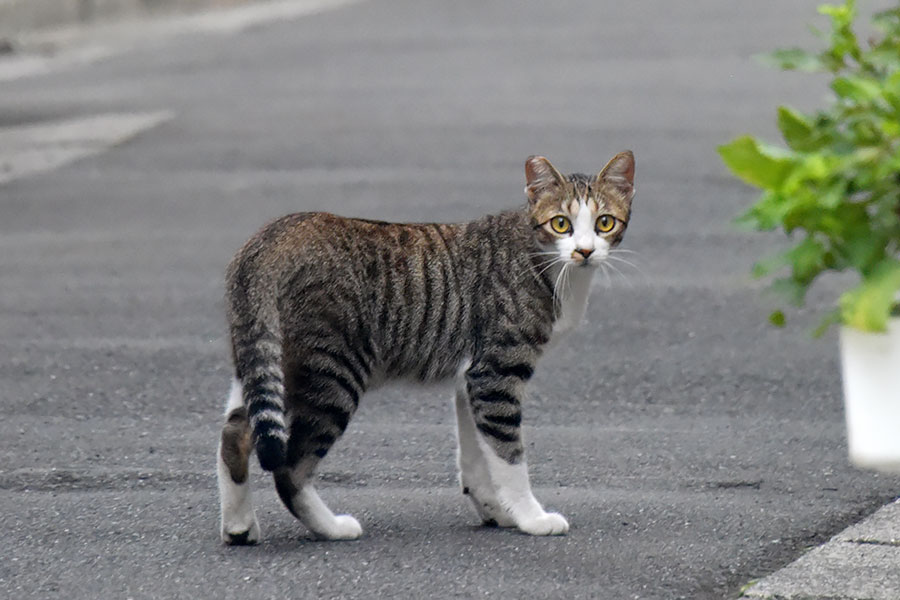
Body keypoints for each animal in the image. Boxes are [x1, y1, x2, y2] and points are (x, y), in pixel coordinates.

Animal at [215, 150, 636, 544]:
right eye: (561, 224)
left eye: (604, 223)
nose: (584, 251)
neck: (545, 261)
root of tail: (273, 236)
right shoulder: (497, 372)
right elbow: (508, 454)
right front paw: (531, 517)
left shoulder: (470, 377)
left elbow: (475, 457)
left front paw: (496, 510)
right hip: (333, 374)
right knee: (289, 467)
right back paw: (331, 527)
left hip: (265, 361)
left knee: (236, 432)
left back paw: (239, 526)